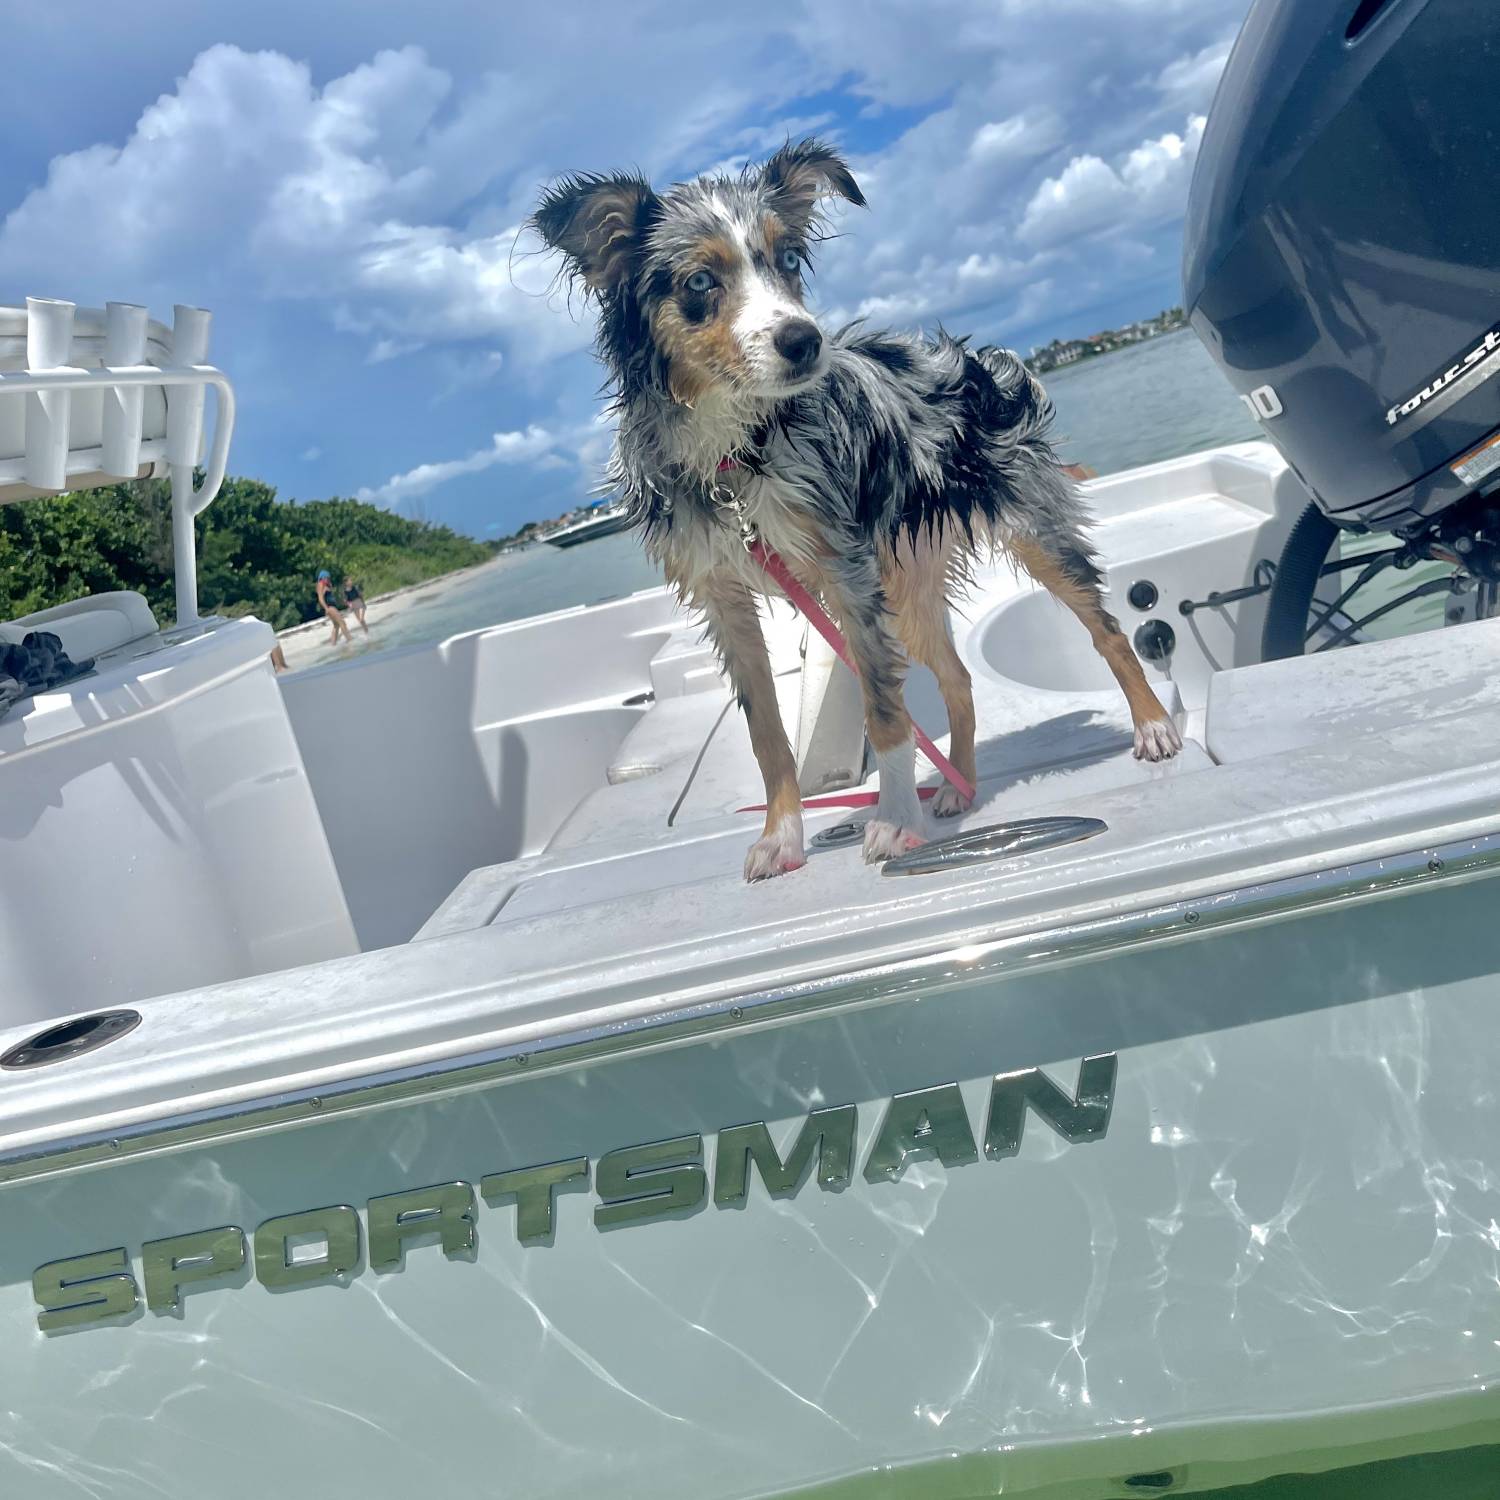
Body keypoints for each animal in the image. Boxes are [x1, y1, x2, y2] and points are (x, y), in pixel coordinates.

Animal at [534, 141, 1176, 876]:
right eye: (700, 281)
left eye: (787, 260)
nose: (803, 340)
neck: (732, 455)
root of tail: (978, 364)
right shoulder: (723, 597)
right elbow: (766, 733)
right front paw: (782, 837)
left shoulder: (845, 575)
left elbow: (885, 710)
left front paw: (894, 821)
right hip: (908, 587)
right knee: (958, 681)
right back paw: (959, 788)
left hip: (1028, 530)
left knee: (1107, 630)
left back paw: (1153, 725)